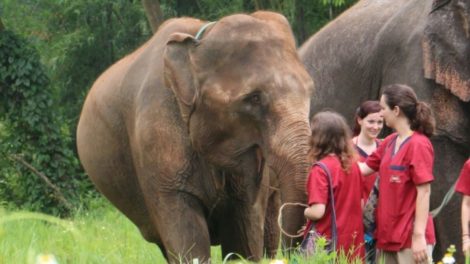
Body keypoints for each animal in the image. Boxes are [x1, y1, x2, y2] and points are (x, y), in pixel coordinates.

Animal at [77, 11, 312, 262]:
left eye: (311, 90)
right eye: (254, 98)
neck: (200, 38)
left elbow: (244, 232)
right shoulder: (155, 135)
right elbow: (187, 236)